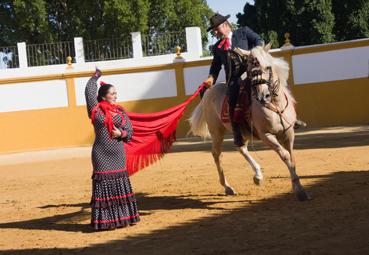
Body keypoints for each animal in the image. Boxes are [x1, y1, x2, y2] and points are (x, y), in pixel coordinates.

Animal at [187, 42, 310, 200]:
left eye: (268, 67)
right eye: (250, 72)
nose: (263, 96)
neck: (275, 104)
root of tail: (209, 91)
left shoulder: (288, 133)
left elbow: (292, 157)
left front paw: (299, 188)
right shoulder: (266, 135)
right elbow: (285, 155)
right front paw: (299, 190)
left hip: (241, 131)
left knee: (241, 148)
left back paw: (257, 176)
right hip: (217, 132)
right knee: (217, 154)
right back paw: (227, 187)